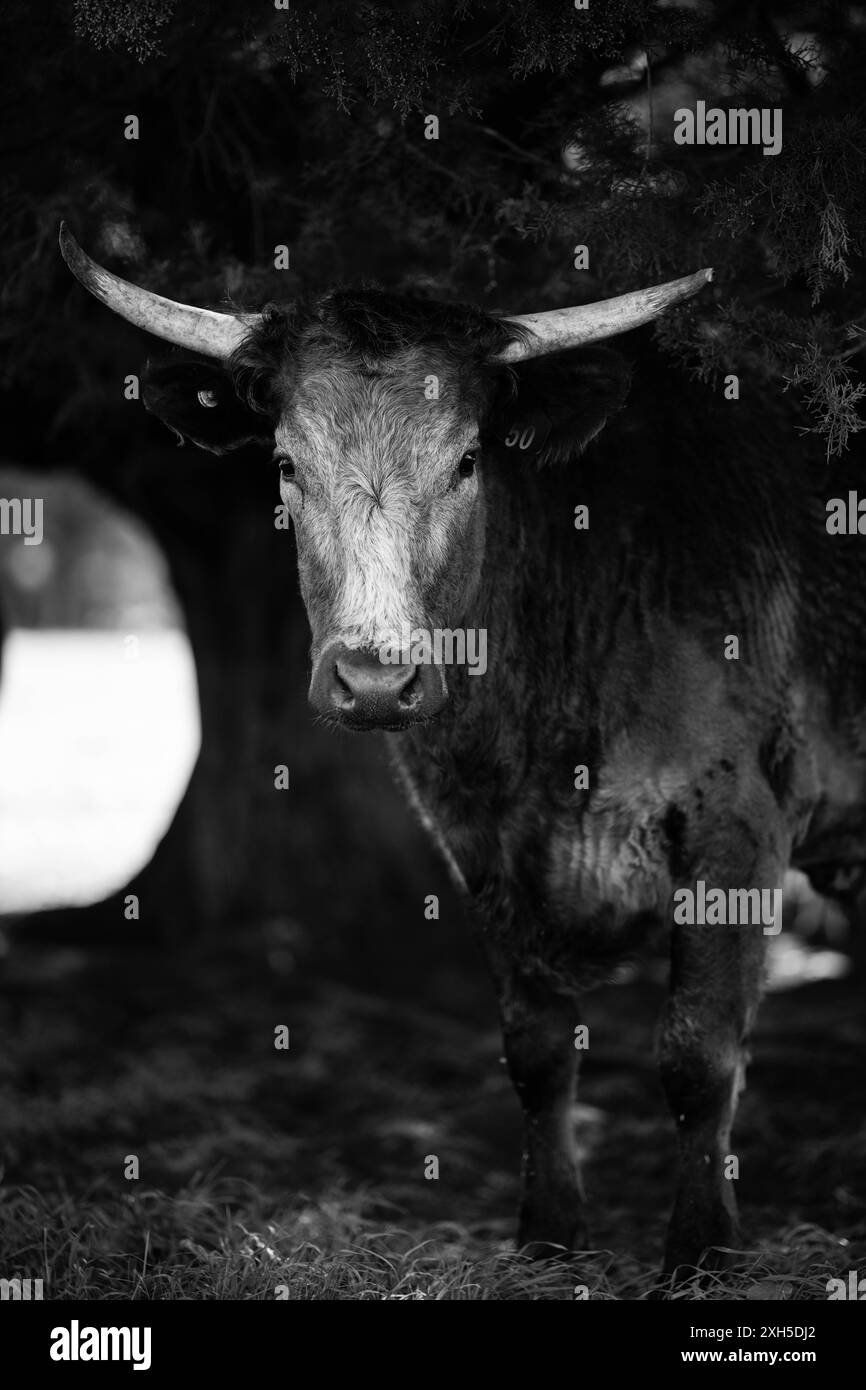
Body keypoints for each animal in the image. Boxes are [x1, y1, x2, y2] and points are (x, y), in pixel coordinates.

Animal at [61, 222, 866, 1273]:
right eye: (285, 465)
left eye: (469, 461)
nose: (374, 679)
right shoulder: (482, 849)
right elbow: (535, 1055)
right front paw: (548, 1237)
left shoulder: (735, 825)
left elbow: (697, 1052)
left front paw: (701, 1254)